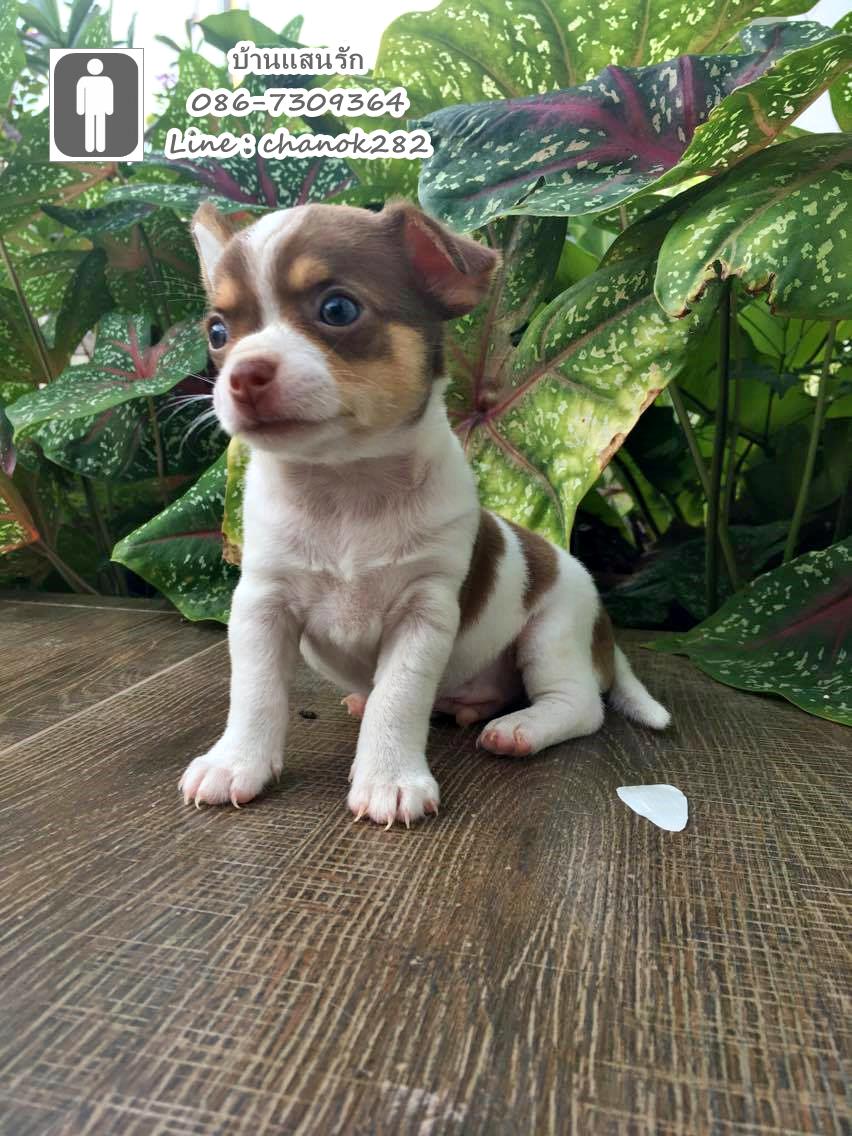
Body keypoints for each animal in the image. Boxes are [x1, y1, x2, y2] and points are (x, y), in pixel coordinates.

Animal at [179, 200, 670, 827]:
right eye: (218, 332)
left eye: (337, 309)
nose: (242, 374)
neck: (346, 488)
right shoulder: (261, 606)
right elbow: (255, 692)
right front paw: (236, 761)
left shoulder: (423, 615)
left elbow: (400, 697)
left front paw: (389, 777)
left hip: (555, 631)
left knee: (582, 705)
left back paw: (520, 728)